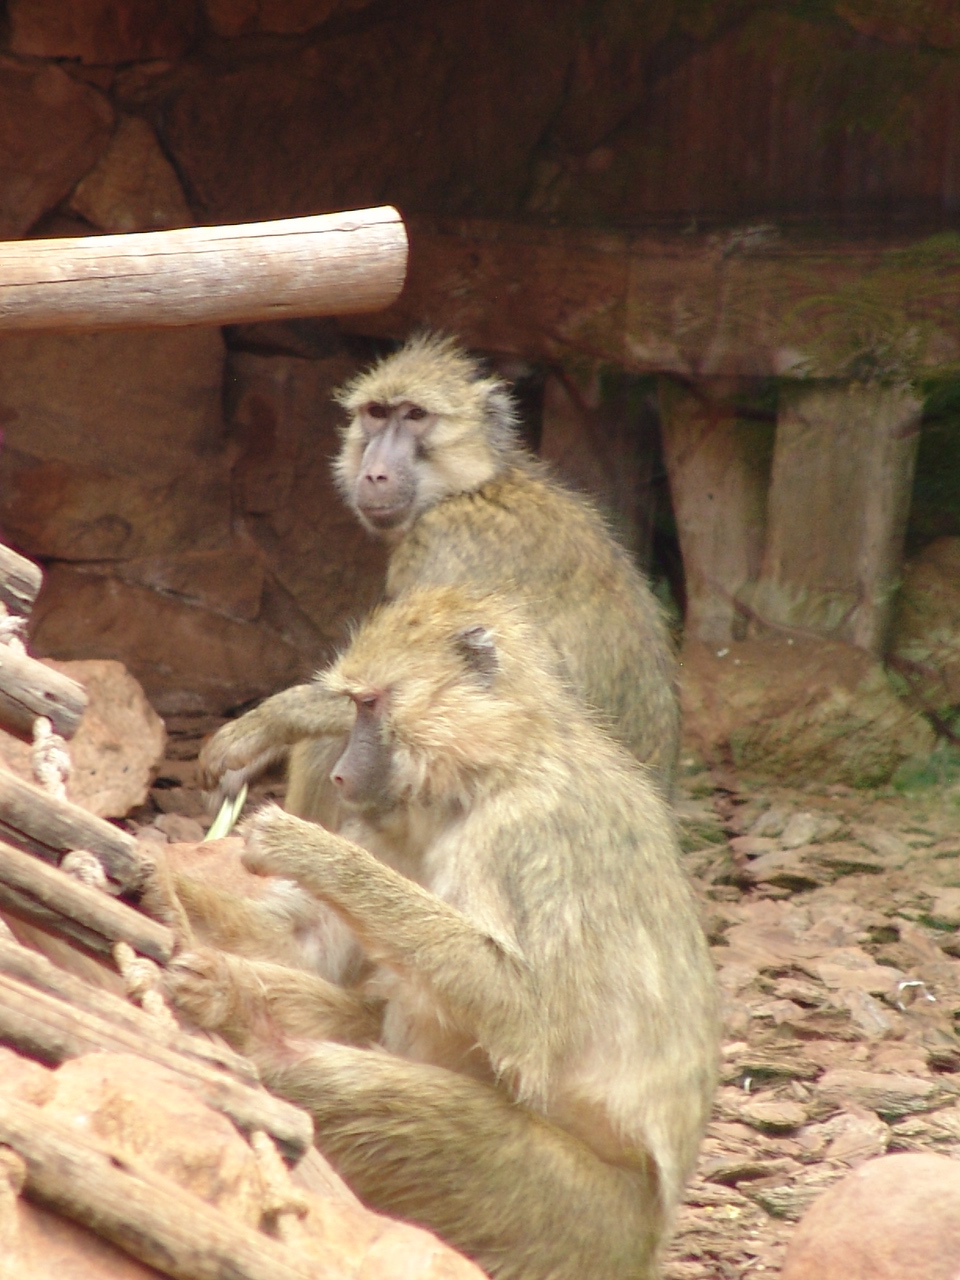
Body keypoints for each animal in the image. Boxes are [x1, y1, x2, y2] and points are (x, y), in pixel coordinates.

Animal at [164, 585, 719, 1280]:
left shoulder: (525, 835)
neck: (492, 770)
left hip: (578, 1218)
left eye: (368, 704)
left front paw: (310, 851)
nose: (342, 775)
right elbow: (304, 945)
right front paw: (158, 881)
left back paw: (254, 1031)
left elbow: (524, 1018)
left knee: (385, 1102)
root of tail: (645, 1246)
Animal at [198, 332, 679, 821]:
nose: (375, 473)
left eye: (416, 416)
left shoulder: (442, 545)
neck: (467, 487)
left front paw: (262, 727)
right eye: (377, 413)